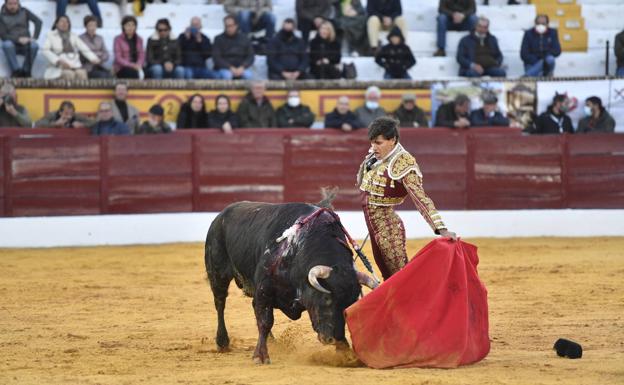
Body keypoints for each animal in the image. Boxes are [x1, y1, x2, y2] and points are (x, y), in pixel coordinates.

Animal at [205, 201, 376, 364]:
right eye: (327, 298)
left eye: (349, 303)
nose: (333, 339)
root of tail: (220, 216)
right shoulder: (264, 289)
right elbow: (265, 321)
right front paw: (260, 356)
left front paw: (346, 353)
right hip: (218, 274)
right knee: (220, 303)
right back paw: (222, 342)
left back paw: (271, 341)